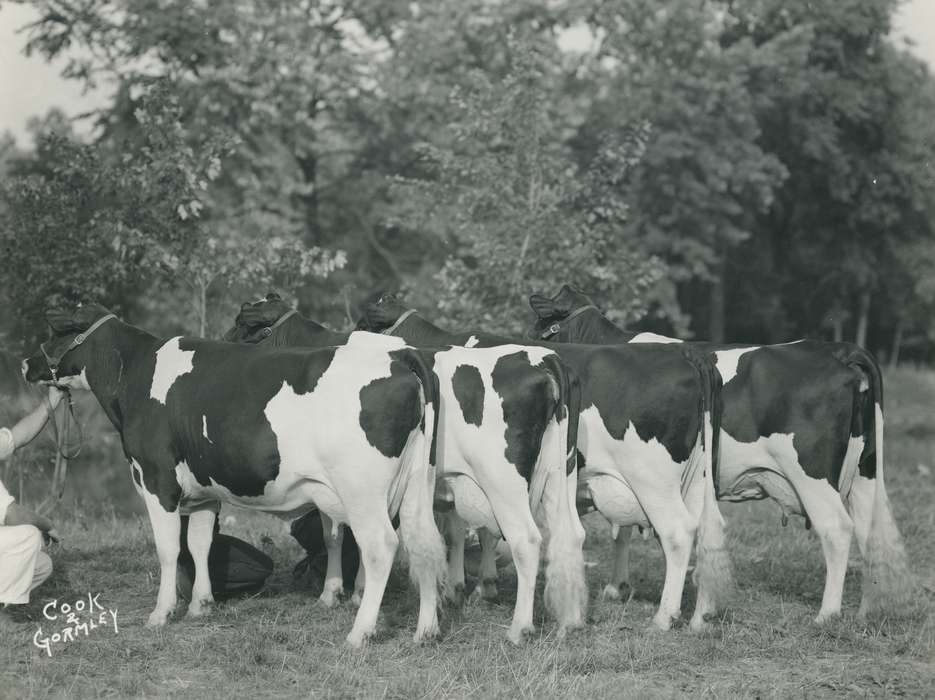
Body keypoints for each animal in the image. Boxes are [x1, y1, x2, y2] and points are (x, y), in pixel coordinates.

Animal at [23, 303, 446, 647]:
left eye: (55, 330)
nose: (26, 364)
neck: (136, 375)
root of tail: (401, 356)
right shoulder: (205, 491)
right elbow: (199, 544)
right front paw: (201, 605)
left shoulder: (157, 479)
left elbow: (168, 549)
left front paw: (161, 613)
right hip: (415, 484)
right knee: (423, 542)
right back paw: (426, 631)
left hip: (362, 491)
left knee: (382, 548)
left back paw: (360, 633)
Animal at [226, 294, 587, 644]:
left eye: (243, 325)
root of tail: (544, 359)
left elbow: (343, 535)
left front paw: (342, 594)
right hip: (558, 474)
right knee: (571, 534)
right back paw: (570, 622)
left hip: (504, 480)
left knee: (526, 539)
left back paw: (518, 630)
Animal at [348, 295, 729, 633]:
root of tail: (686, 353)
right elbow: (464, 530)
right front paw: (470, 586)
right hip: (696, 479)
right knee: (708, 530)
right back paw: (701, 617)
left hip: (653, 480)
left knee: (678, 533)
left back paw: (664, 617)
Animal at [527, 284, 913, 622]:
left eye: (540, 328)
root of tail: (840, 351)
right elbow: (625, 527)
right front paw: (618, 587)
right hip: (864, 470)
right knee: (868, 532)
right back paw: (866, 610)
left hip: (811, 475)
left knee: (837, 529)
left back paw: (827, 614)